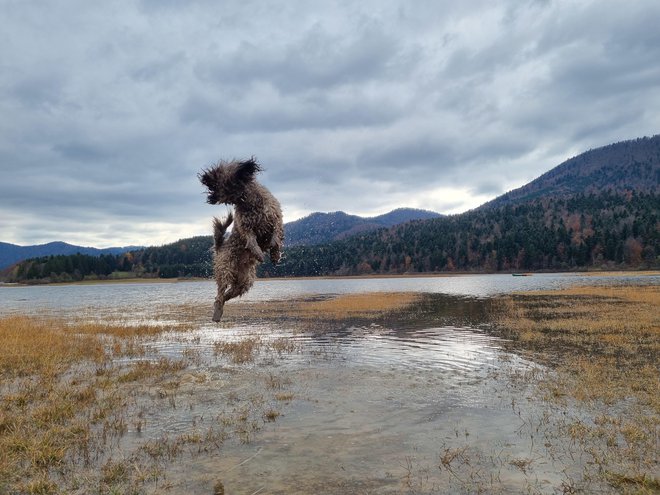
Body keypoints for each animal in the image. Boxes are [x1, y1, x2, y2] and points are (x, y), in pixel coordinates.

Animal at [200, 159, 284, 322]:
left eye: (219, 180)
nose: (204, 179)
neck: (247, 201)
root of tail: (220, 247)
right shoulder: (245, 228)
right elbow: (251, 241)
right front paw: (259, 253)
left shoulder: (275, 218)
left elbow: (276, 236)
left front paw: (275, 254)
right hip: (225, 271)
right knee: (219, 296)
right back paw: (216, 314)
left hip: (244, 283)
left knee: (225, 296)